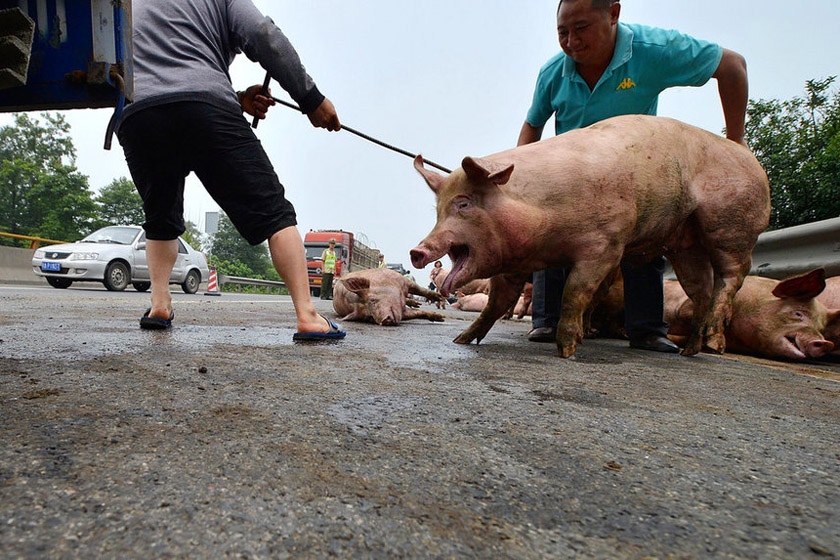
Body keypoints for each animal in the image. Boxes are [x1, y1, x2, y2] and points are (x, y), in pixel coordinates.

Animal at [406, 115, 768, 358]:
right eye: (438, 210)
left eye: (464, 204)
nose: (416, 252)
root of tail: (752, 160)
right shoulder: (514, 263)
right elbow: (497, 303)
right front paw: (462, 340)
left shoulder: (605, 245)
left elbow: (574, 293)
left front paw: (566, 350)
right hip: (686, 244)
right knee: (702, 290)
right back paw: (689, 351)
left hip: (731, 225)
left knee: (732, 276)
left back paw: (709, 341)